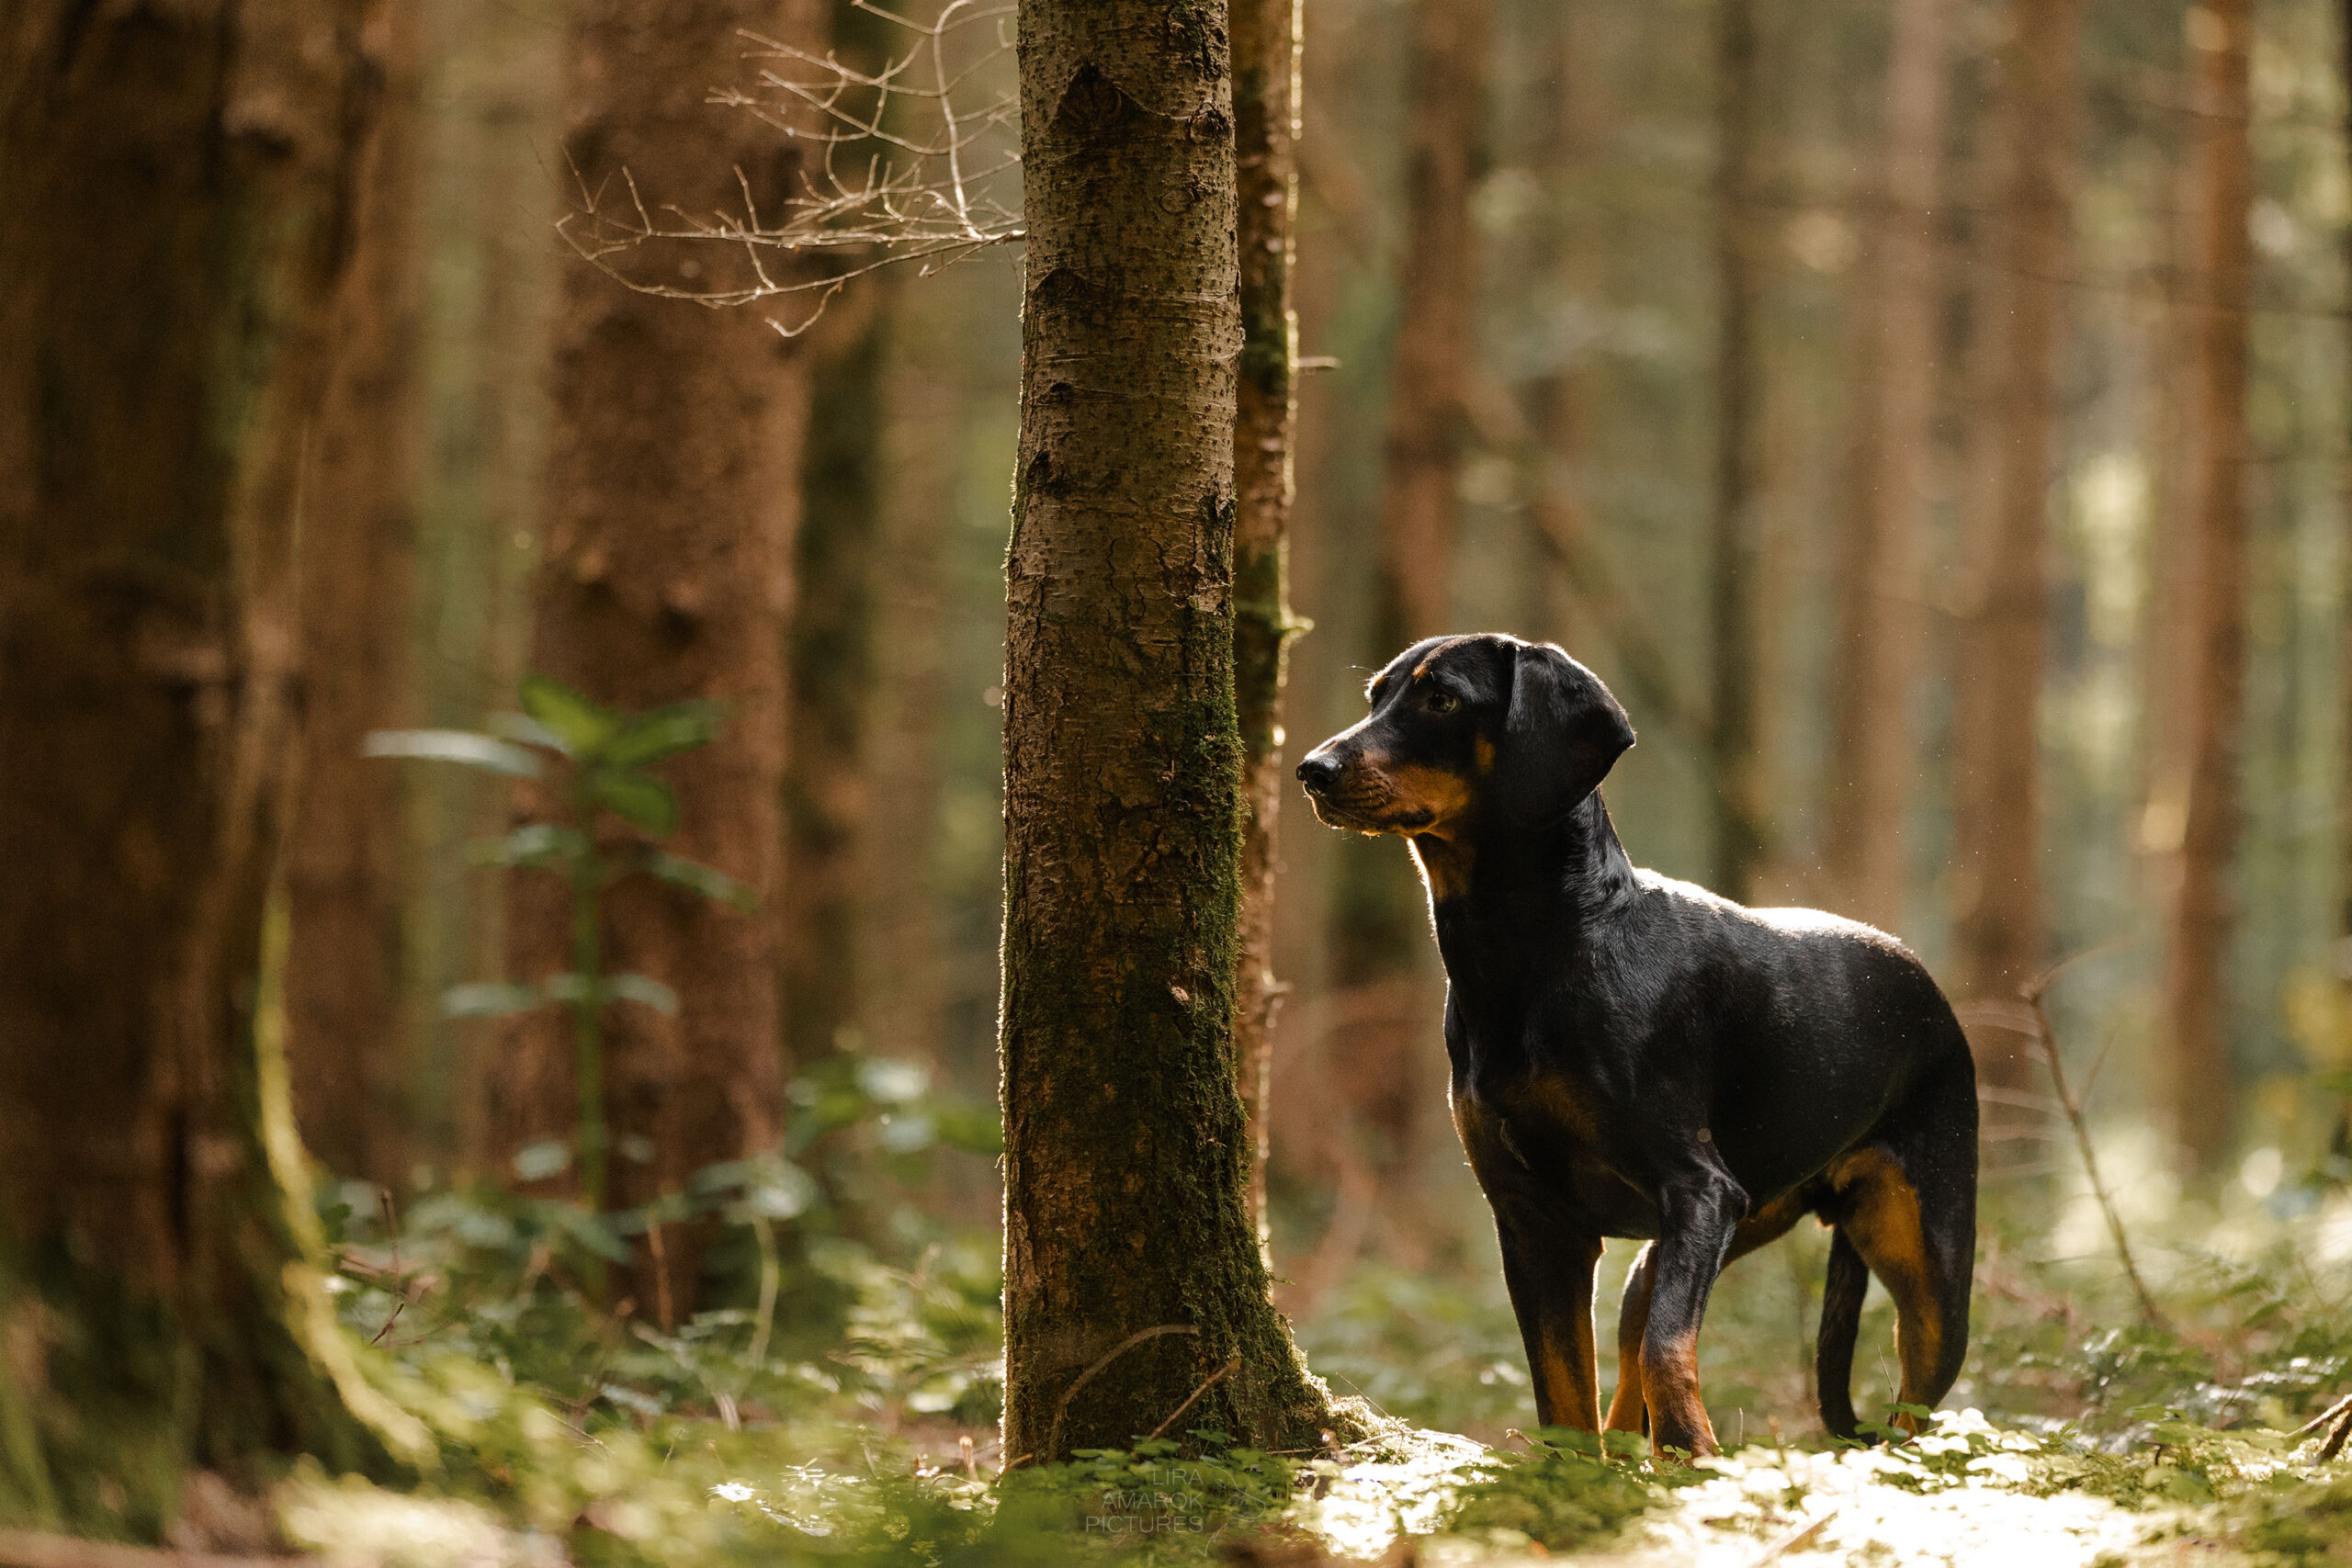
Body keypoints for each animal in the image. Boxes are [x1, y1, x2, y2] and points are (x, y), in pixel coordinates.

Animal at [1298, 629, 1975, 1457]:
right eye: (1377, 695)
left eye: (1444, 698)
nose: (1312, 769)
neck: (1540, 949)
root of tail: (1922, 976)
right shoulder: (1535, 1224)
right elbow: (1565, 1397)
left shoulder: (1699, 1189)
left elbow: (1665, 1352)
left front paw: (1697, 1450)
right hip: (1682, 1247)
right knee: (1628, 1364)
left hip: (1927, 1263)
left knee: (1916, 1403)